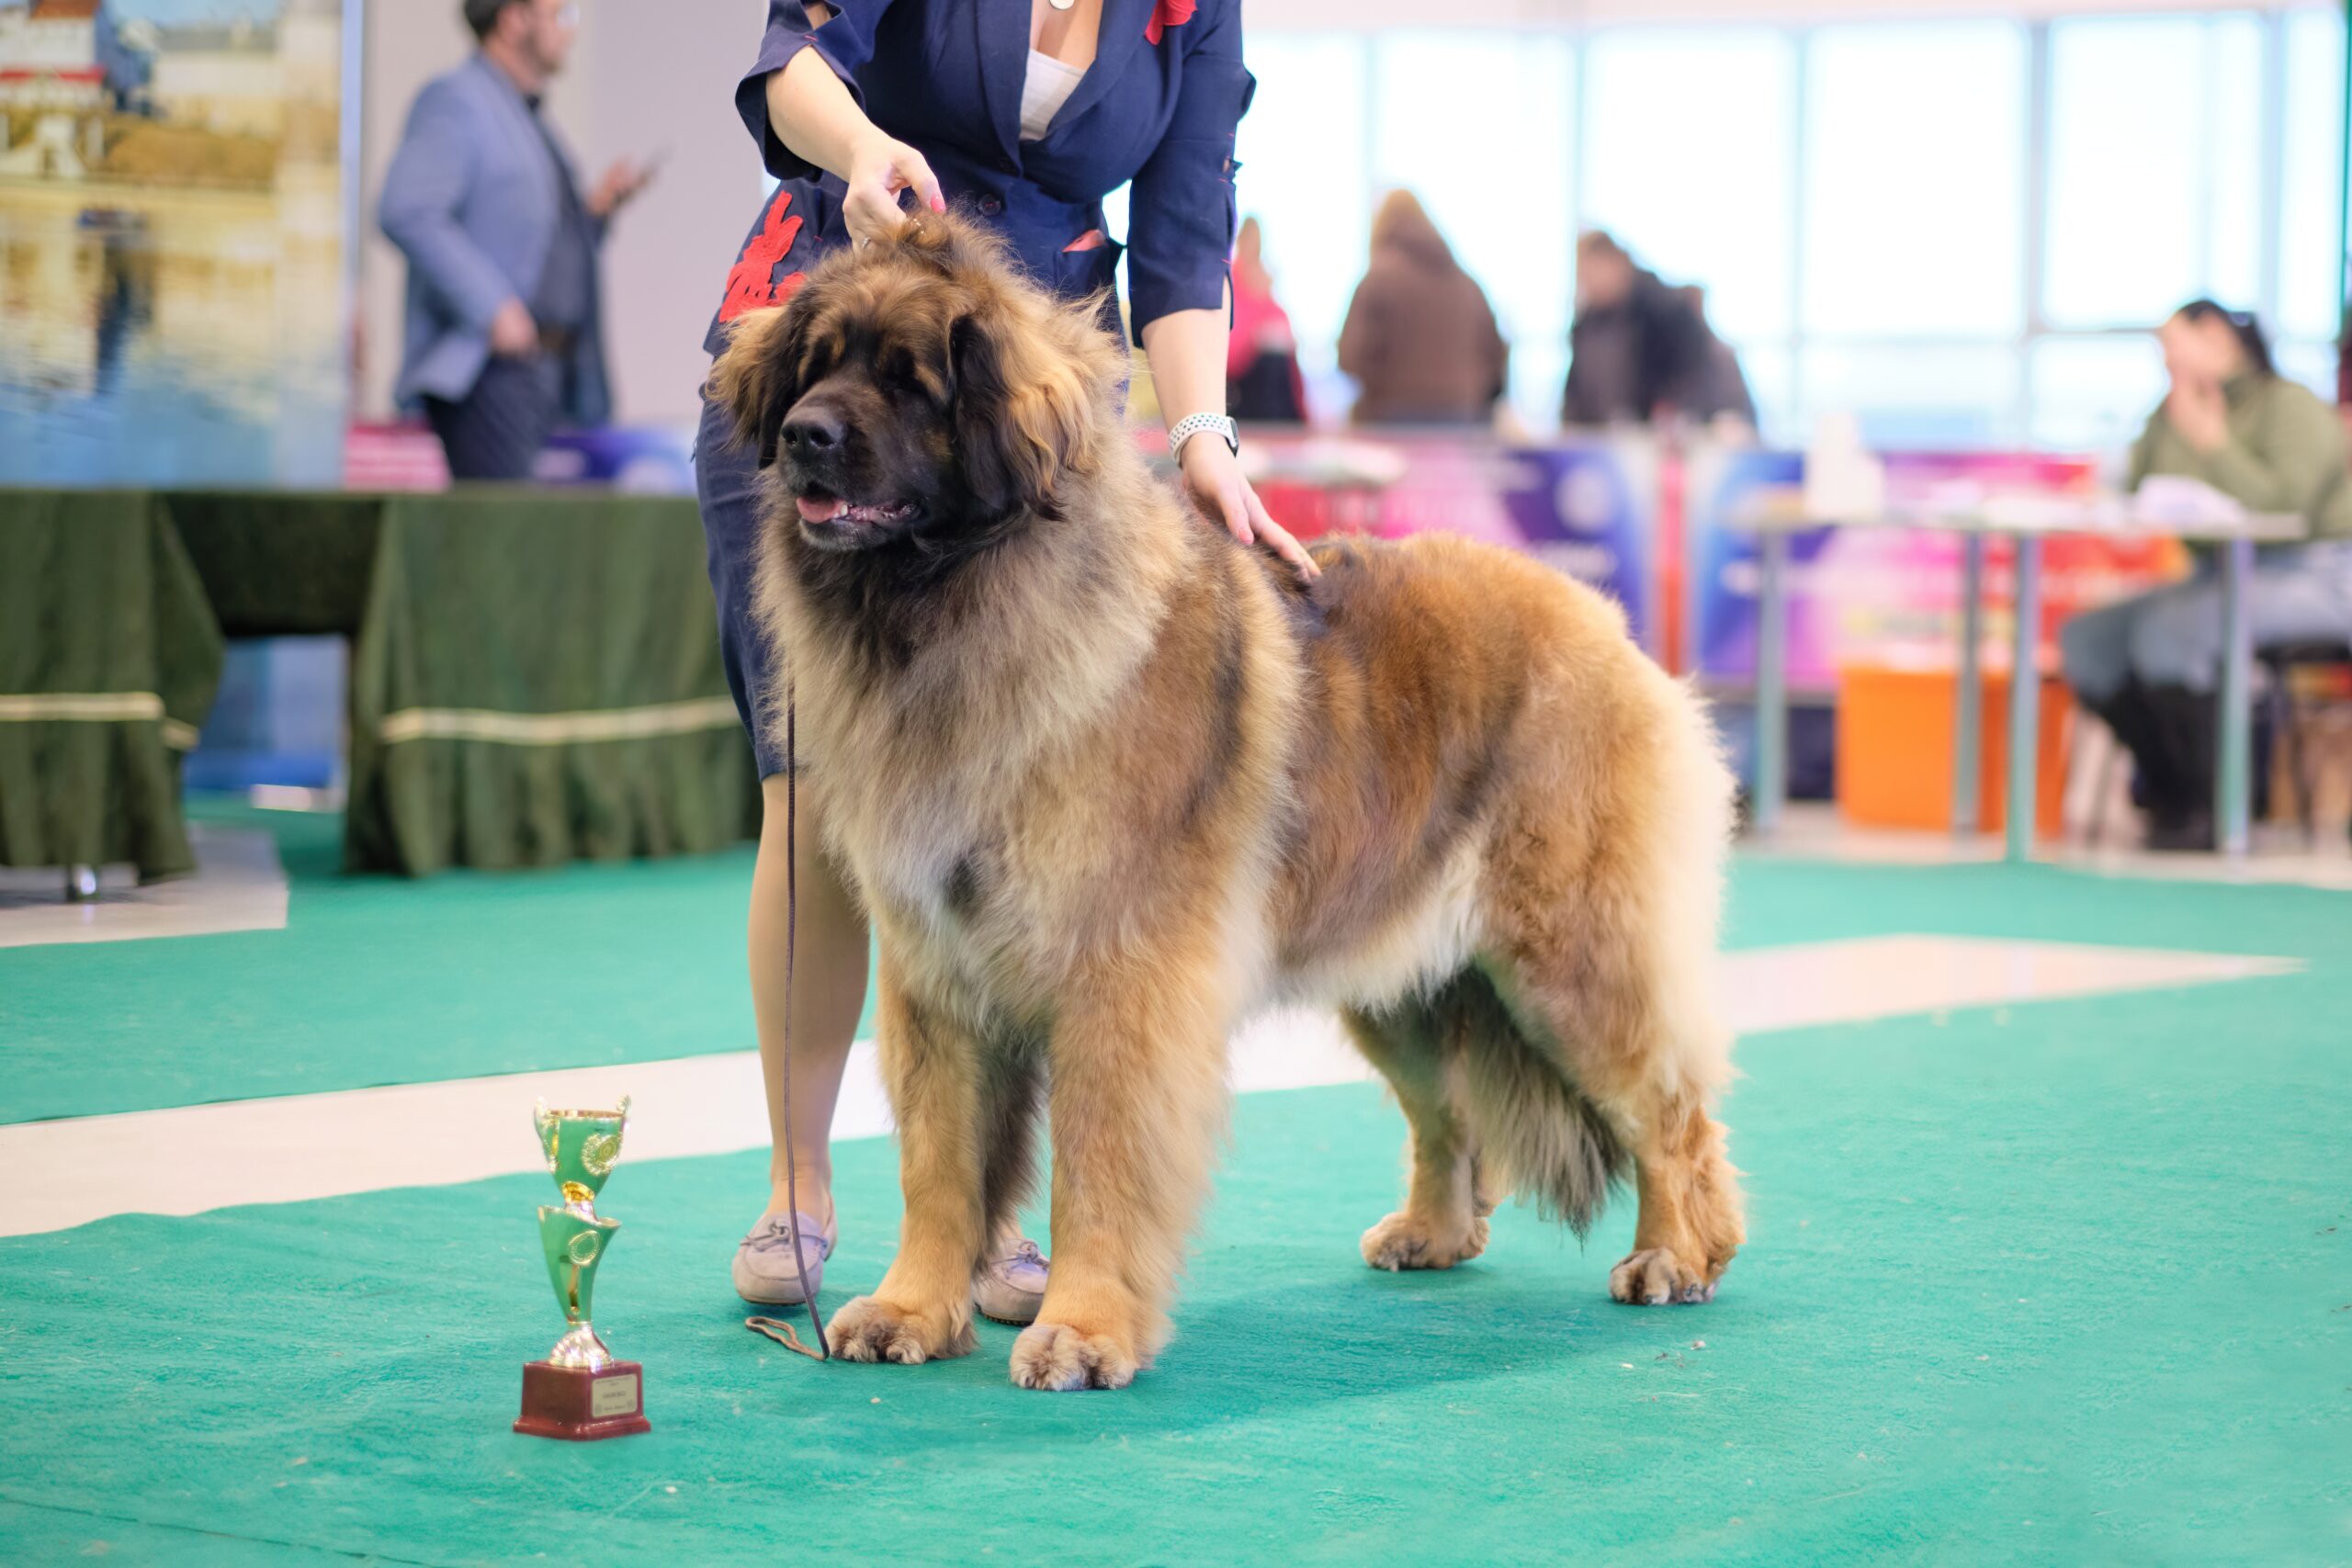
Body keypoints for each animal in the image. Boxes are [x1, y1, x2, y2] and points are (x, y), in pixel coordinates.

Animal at [706, 211, 1740, 1401]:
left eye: (909, 381)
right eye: (815, 365)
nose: (803, 436)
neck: (960, 606)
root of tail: (1604, 625)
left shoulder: (1120, 975)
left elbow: (1098, 1160)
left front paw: (1081, 1327)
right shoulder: (936, 970)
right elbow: (938, 1158)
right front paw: (912, 1308)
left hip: (1569, 962)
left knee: (1669, 1110)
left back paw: (1676, 1253)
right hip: (1400, 981)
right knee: (1448, 1113)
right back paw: (1432, 1232)